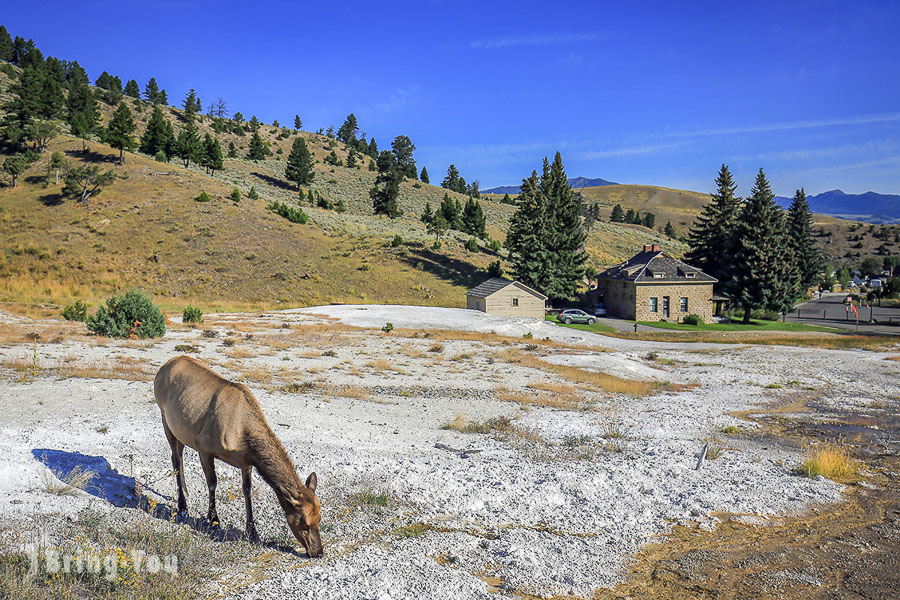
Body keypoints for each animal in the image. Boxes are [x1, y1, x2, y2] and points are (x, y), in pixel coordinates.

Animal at [155, 356, 324, 556]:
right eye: (304, 523)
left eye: (319, 518)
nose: (319, 552)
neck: (244, 438)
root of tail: (164, 366)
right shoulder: (204, 448)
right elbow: (212, 483)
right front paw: (213, 520)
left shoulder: (246, 463)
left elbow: (247, 490)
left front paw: (252, 530)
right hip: (164, 417)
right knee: (175, 459)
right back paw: (182, 506)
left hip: (179, 429)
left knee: (179, 458)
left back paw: (186, 493)